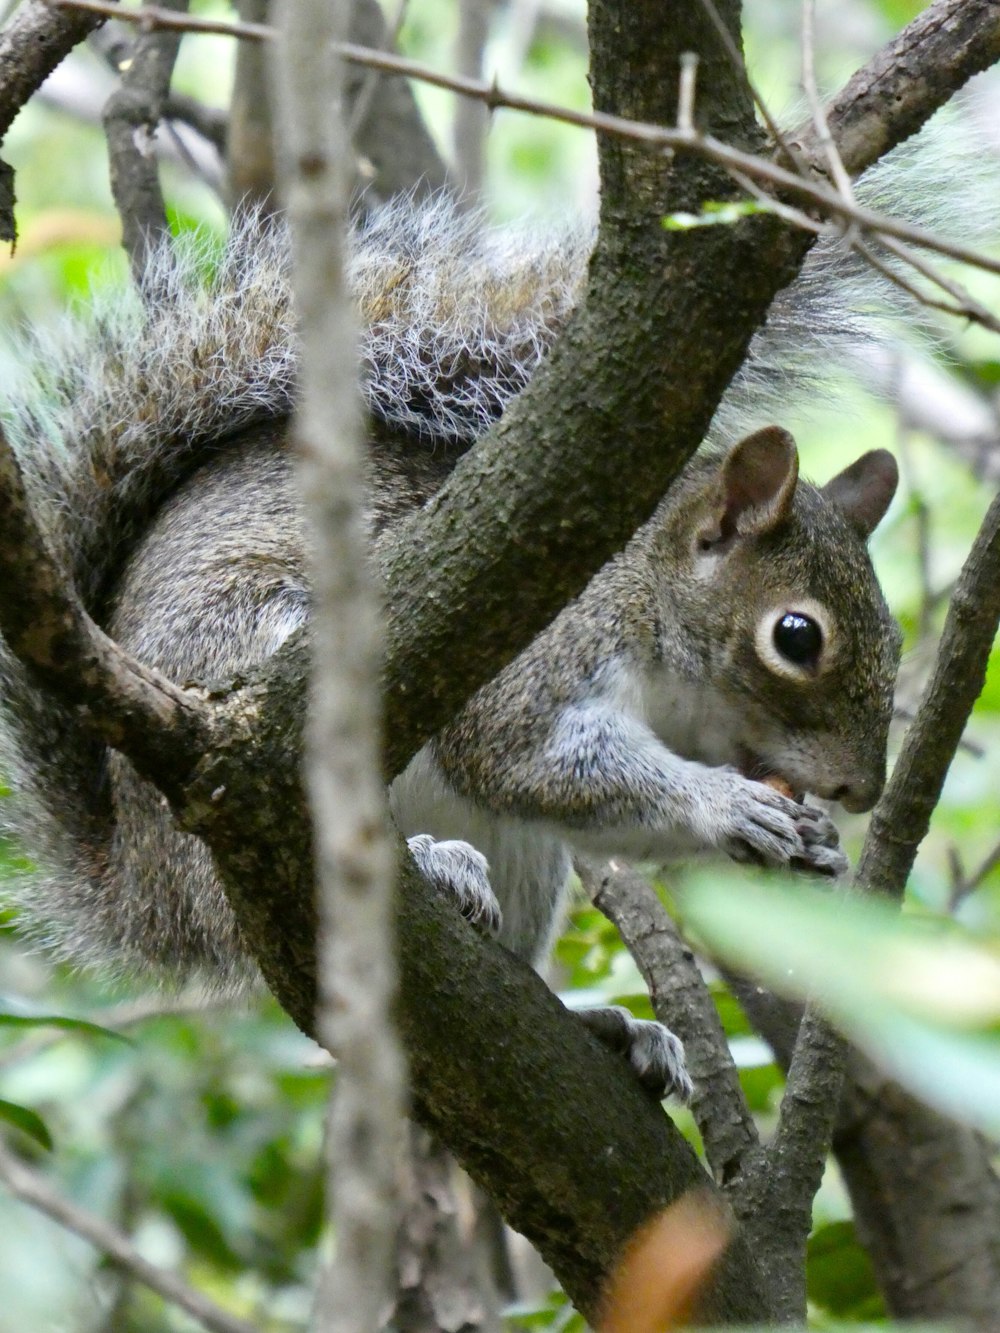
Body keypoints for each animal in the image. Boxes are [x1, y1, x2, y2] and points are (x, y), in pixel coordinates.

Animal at [0, 193, 906, 1098]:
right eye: (796, 636)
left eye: (896, 638)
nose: (861, 792)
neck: (652, 605)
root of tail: (148, 894)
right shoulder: (540, 655)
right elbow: (526, 757)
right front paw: (724, 802)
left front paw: (816, 845)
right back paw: (429, 863)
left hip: (526, 862)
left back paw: (608, 1028)